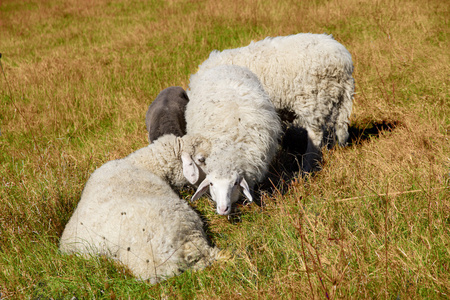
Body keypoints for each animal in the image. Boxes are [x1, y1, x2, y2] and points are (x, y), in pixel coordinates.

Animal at [197, 32, 356, 171]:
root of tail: (343, 61)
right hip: (335, 99)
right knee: (337, 127)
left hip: (312, 99)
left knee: (315, 135)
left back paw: (306, 166)